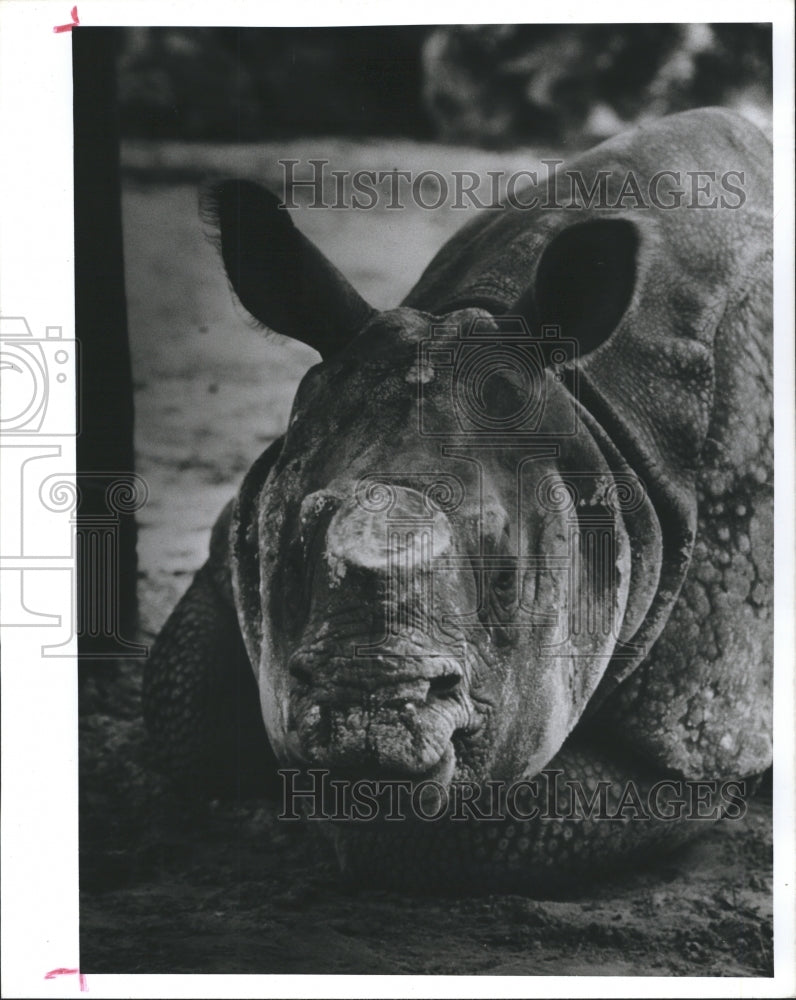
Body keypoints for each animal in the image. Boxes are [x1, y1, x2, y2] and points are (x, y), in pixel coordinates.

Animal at [144, 108, 772, 890]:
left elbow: (432, 834)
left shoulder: (696, 724)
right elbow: (181, 721)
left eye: (507, 581)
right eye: (287, 558)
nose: (368, 708)